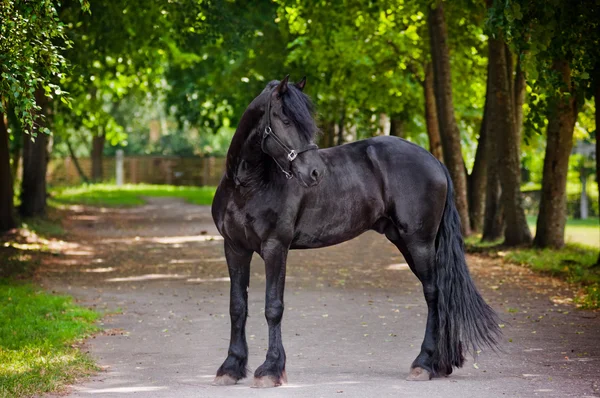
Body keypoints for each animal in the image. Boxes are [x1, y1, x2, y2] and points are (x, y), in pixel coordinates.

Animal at [210, 76, 496, 388]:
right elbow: (237, 307)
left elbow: (273, 307)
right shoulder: (235, 248)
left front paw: (271, 370)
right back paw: (440, 364)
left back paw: (424, 364)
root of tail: (435, 162)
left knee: (434, 293)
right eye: (284, 119)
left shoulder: (275, 247)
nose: (315, 173)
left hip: (419, 242)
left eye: (306, 122)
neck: (247, 186)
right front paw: (230, 367)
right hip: (406, 242)